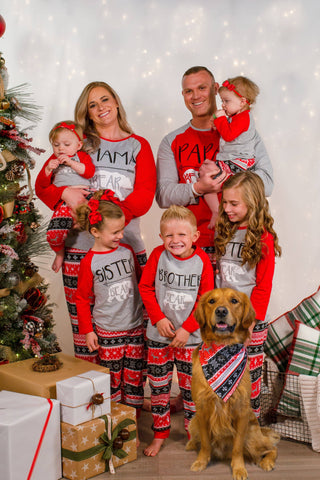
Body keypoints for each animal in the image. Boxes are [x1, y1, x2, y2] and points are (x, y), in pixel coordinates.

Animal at [186, 288, 278, 480]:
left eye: (234, 301)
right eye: (211, 301)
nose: (221, 311)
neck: (223, 348)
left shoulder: (241, 411)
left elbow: (237, 447)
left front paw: (239, 468)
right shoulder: (202, 410)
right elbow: (205, 443)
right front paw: (201, 461)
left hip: (252, 437)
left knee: (271, 449)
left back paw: (267, 462)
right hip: (194, 423)